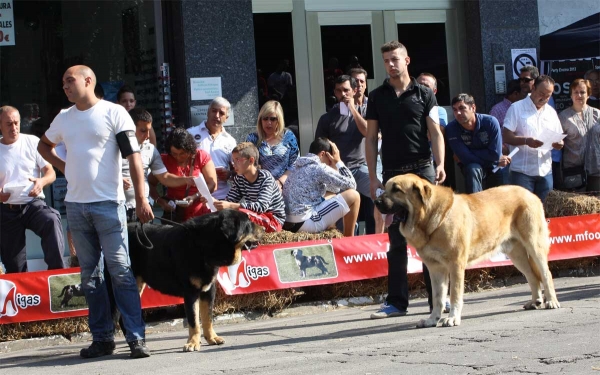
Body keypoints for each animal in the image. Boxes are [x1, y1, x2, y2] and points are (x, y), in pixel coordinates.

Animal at [115, 210, 262, 352]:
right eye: (248, 224)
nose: (263, 228)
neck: (203, 246)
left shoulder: (208, 291)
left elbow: (207, 318)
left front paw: (212, 338)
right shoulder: (191, 292)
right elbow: (194, 321)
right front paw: (193, 343)